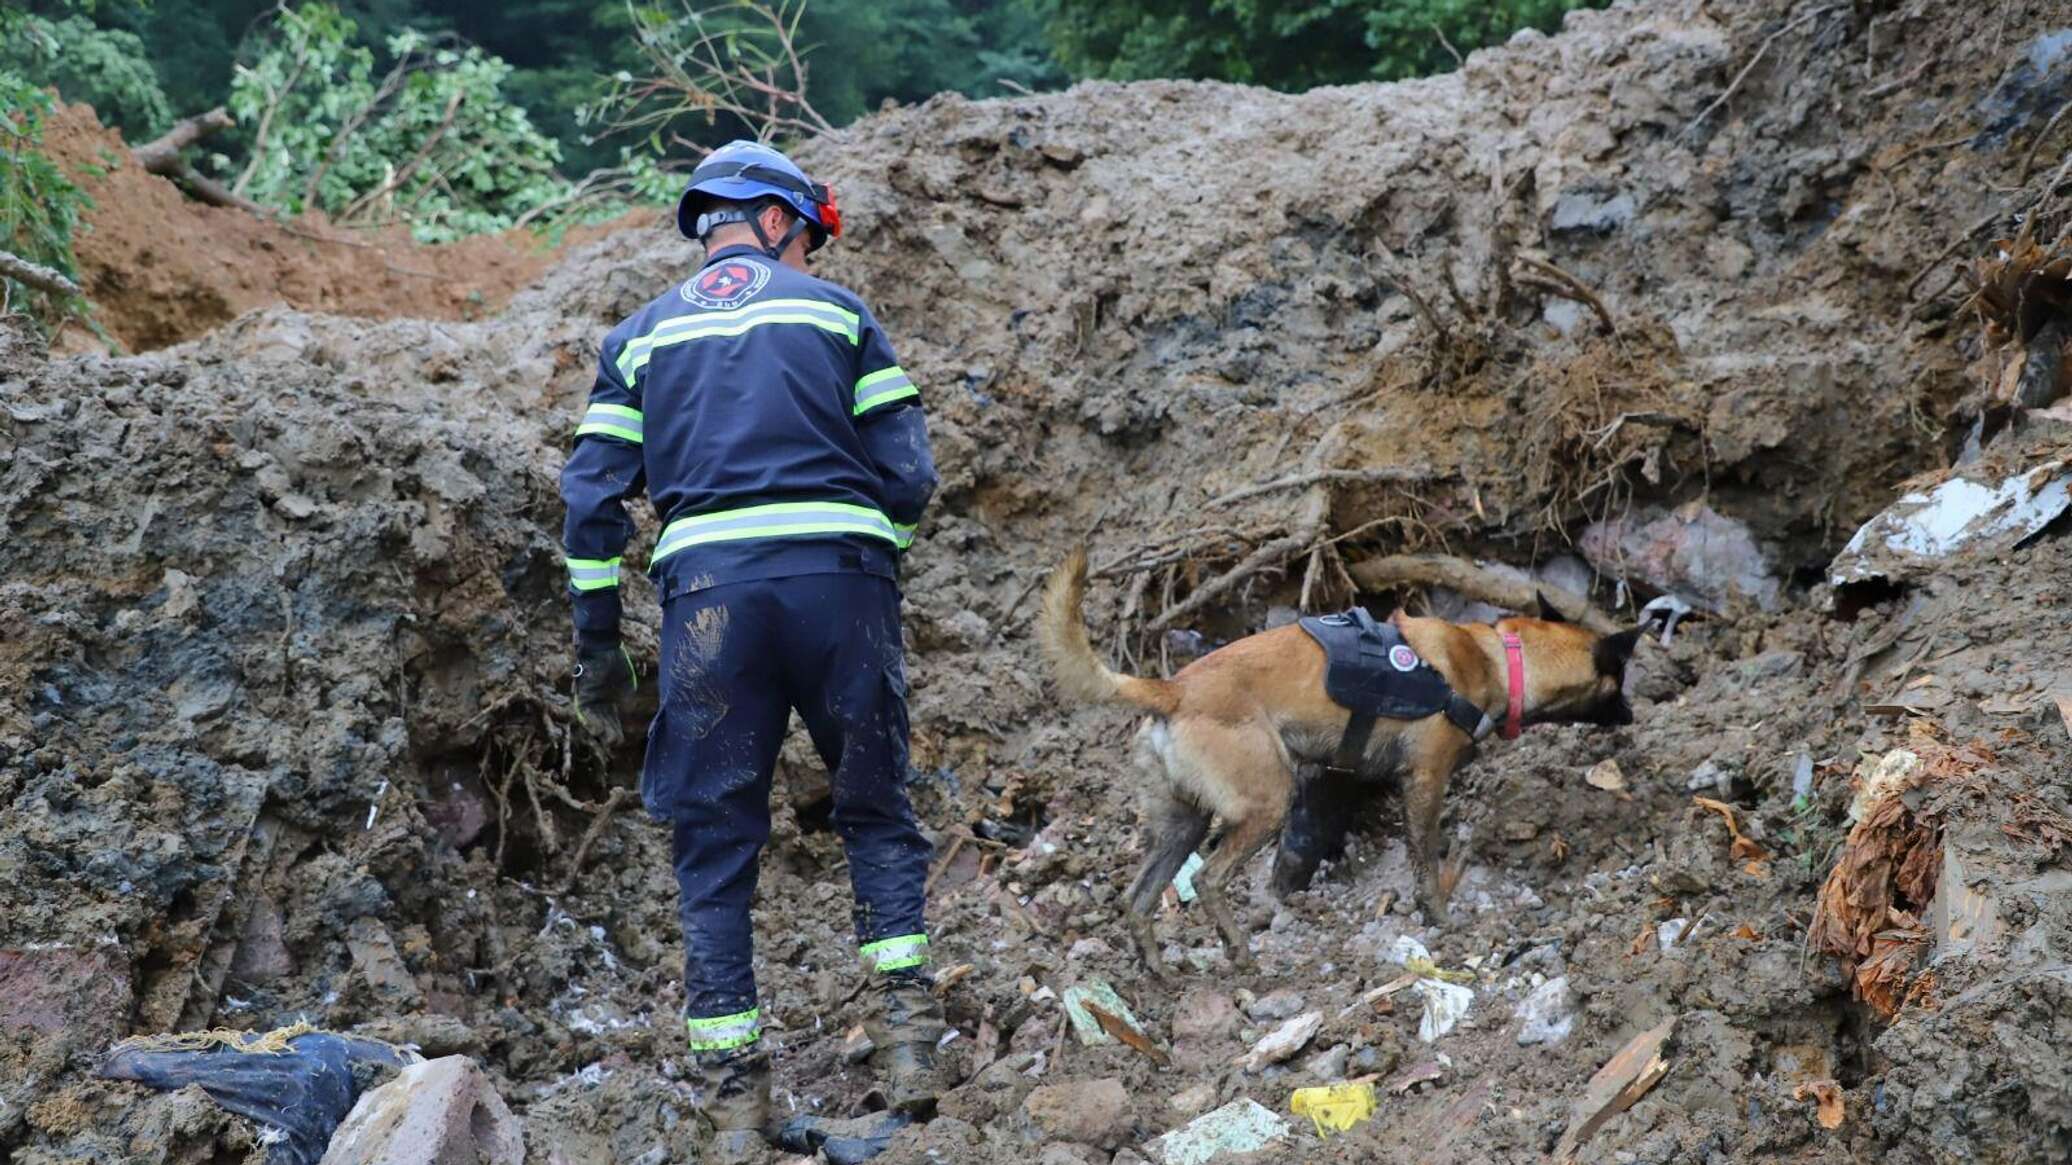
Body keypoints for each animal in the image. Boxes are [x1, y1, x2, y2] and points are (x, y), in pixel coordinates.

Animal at [1044, 543, 1641, 970]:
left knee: (1139, 898)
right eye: (1620, 683)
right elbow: (1426, 863)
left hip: (1181, 826)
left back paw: (1158, 972)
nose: (1635, 715)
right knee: (1209, 879)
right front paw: (1439, 917)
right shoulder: (1425, 780)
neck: (1500, 659)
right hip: (1265, 803)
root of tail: (1172, 691)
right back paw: (1240, 953)